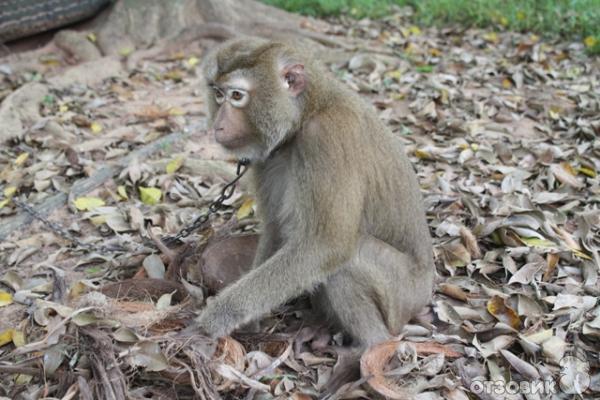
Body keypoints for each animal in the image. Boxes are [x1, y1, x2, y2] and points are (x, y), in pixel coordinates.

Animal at [191, 37, 432, 368]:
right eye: (217, 94)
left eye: (237, 96)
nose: (218, 125)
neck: (307, 114)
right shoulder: (266, 158)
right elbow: (277, 229)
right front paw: (251, 319)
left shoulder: (327, 138)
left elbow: (326, 245)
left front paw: (219, 316)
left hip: (403, 297)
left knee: (350, 259)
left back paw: (371, 346)